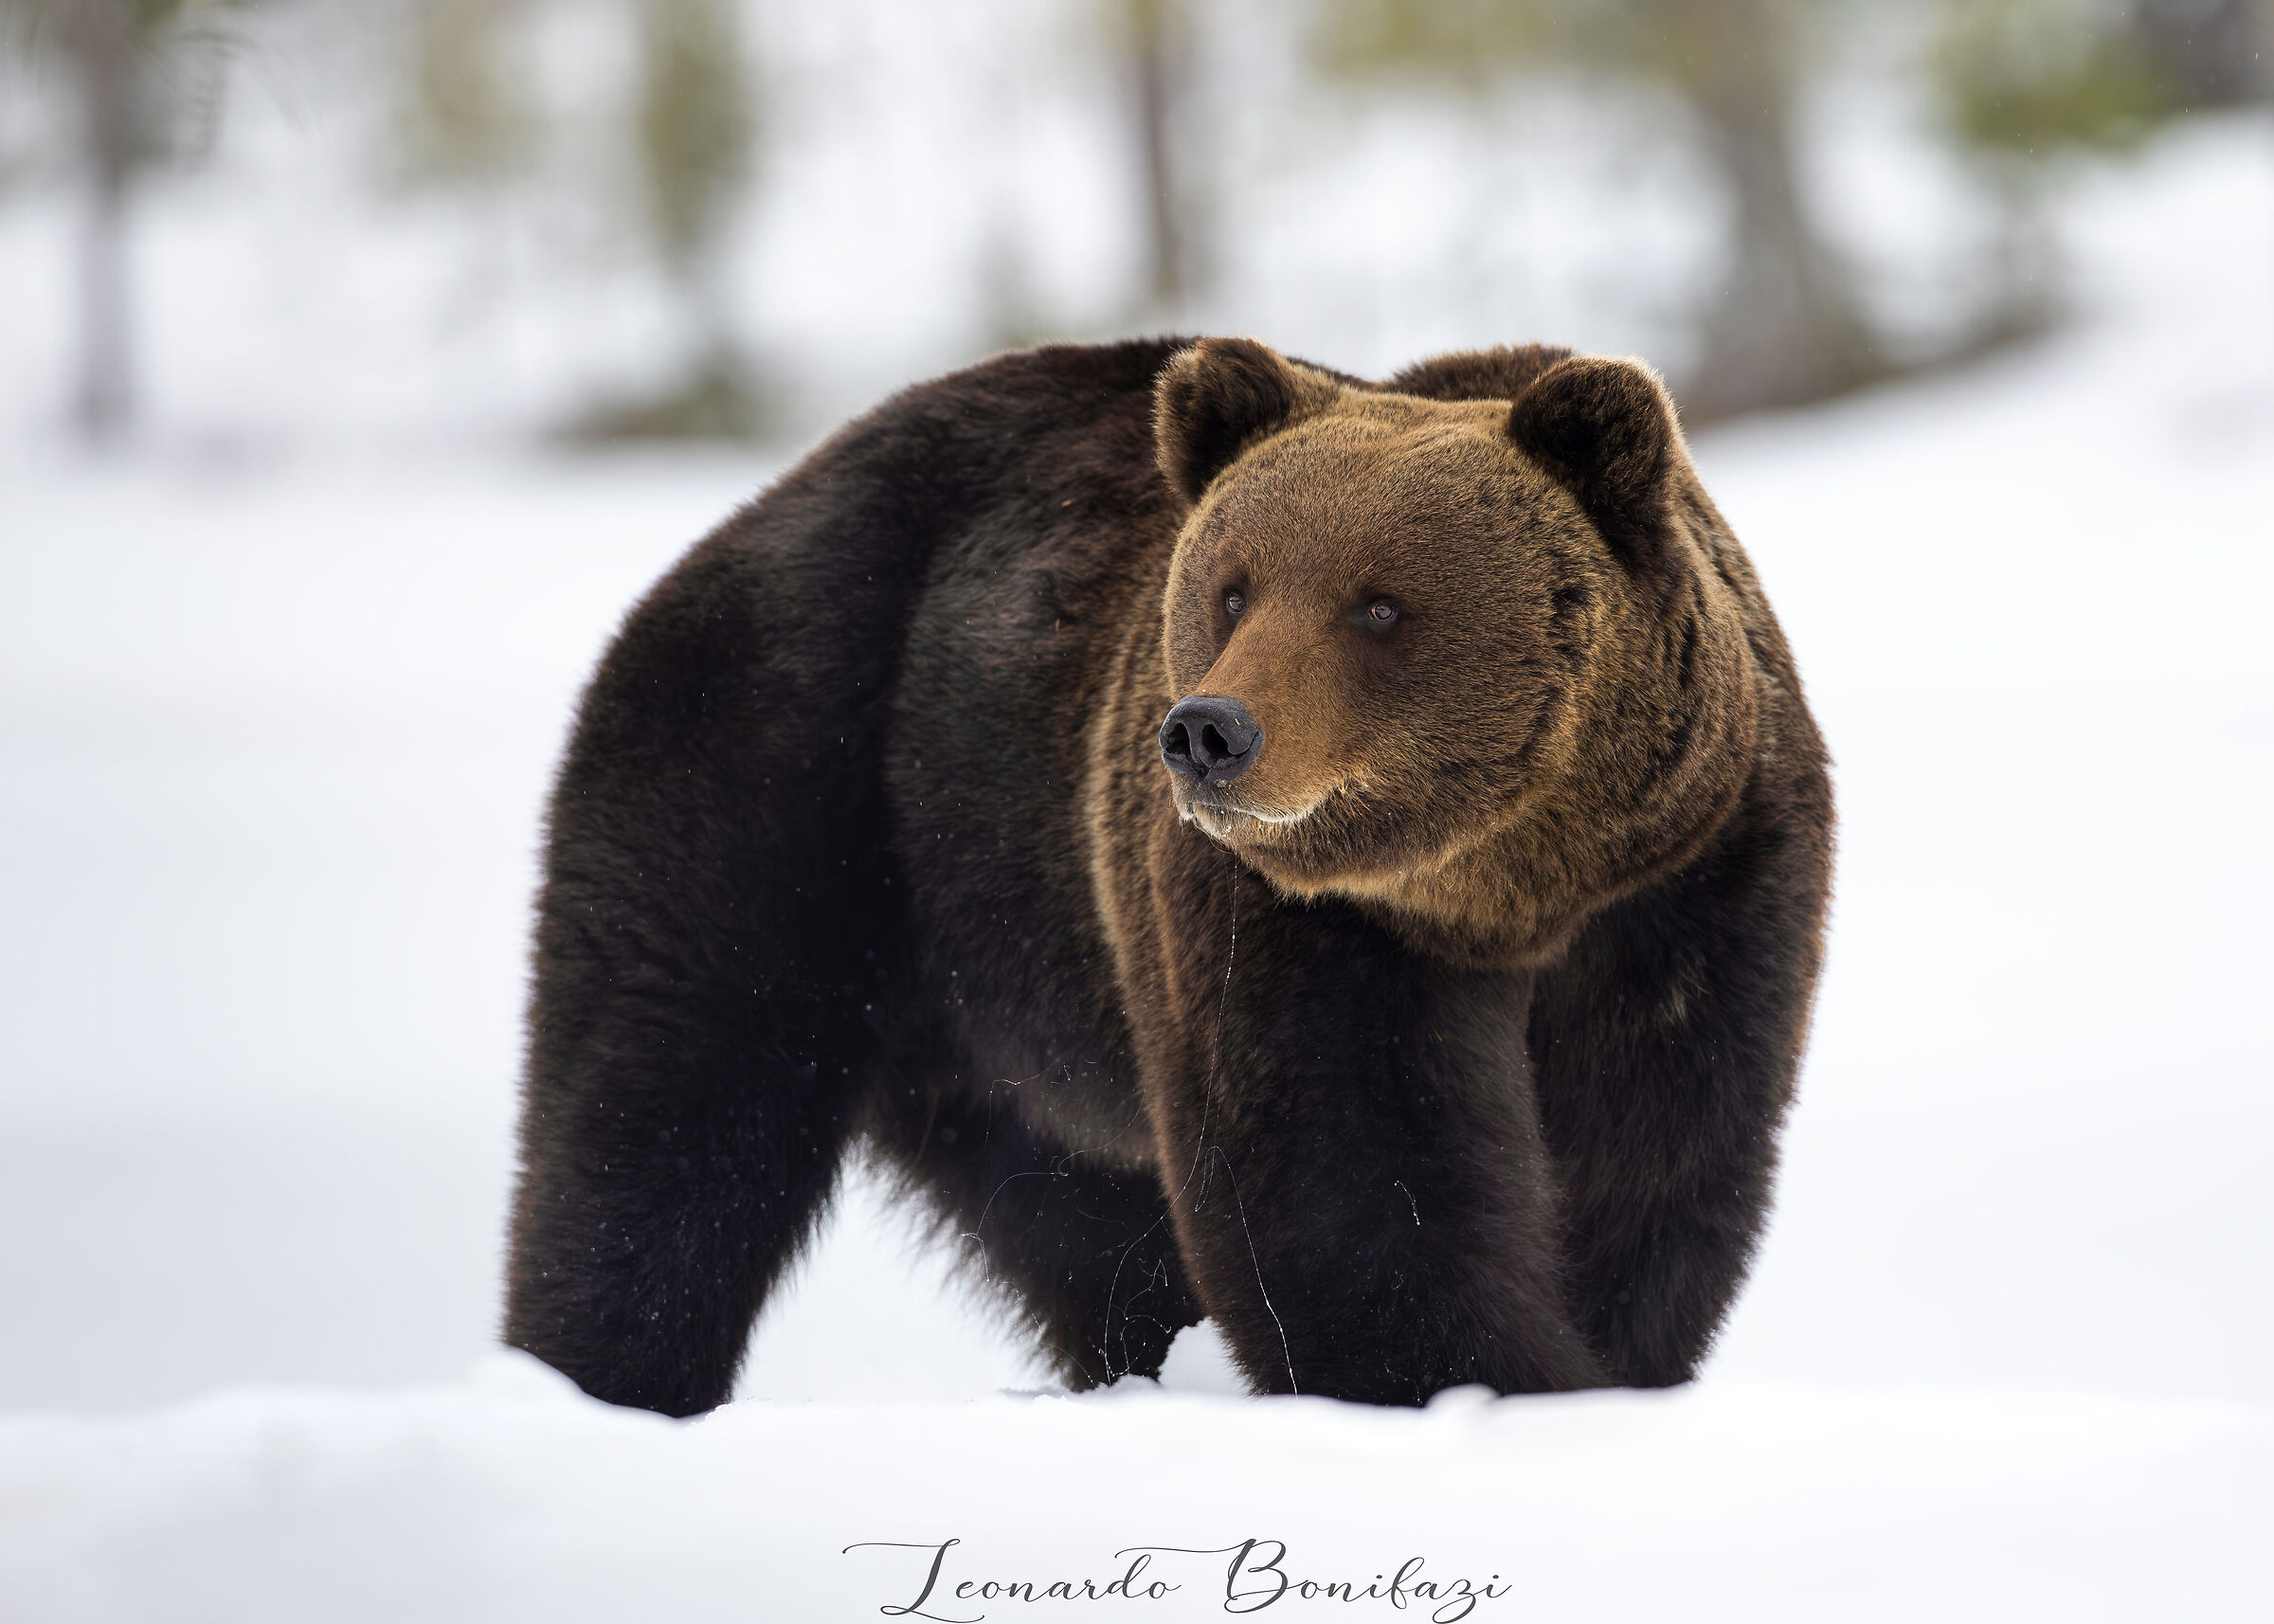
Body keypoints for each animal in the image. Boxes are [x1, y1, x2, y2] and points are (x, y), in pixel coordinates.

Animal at [503, 336, 1833, 1416]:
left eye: (1380, 604)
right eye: (1232, 586)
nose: (1209, 732)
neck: (1500, 890)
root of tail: (735, 523)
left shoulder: (1691, 889)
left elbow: (1652, 1154)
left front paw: (1603, 1369)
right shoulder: (1277, 921)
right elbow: (1349, 1184)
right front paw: (1484, 1381)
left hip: (1003, 995)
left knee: (1075, 1225)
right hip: (787, 787)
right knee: (663, 1111)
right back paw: (596, 1383)